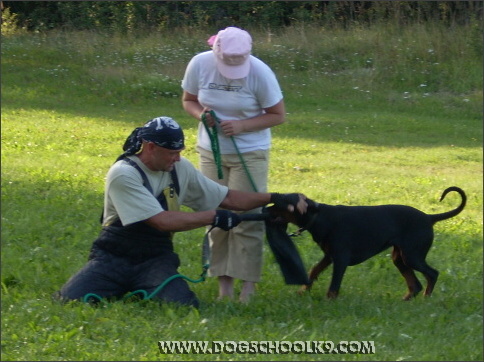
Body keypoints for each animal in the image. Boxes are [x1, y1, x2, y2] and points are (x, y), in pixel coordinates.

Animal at [266, 187, 466, 300]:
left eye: (281, 204)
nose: (265, 209)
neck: (319, 217)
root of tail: (429, 218)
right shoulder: (329, 256)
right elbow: (313, 271)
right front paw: (302, 291)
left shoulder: (340, 259)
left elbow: (333, 286)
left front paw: (329, 301)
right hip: (399, 258)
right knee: (415, 285)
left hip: (412, 256)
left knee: (432, 274)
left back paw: (426, 299)